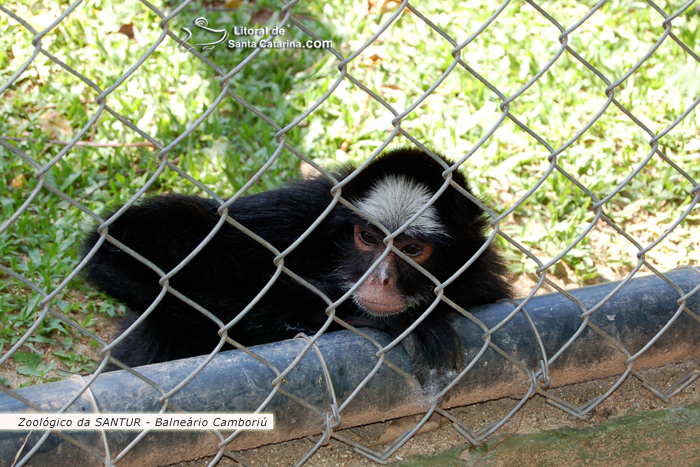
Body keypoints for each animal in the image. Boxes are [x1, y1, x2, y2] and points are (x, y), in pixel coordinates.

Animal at [82, 149, 512, 384]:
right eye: (368, 238)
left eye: (412, 249)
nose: (381, 278)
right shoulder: (310, 207)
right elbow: (116, 248)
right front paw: (401, 322)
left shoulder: (480, 279)